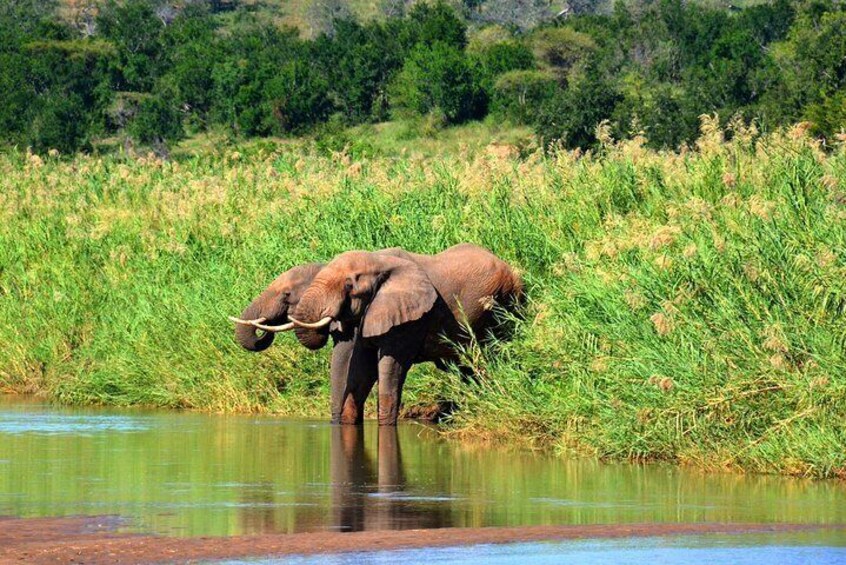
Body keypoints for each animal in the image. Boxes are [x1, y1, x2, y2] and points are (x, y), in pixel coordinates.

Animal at [292, 242, 524, 424]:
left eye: (349, 285)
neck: (379, 260)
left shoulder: (411, 320)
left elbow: (390, 367)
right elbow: (361, 368)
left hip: (504, 303)